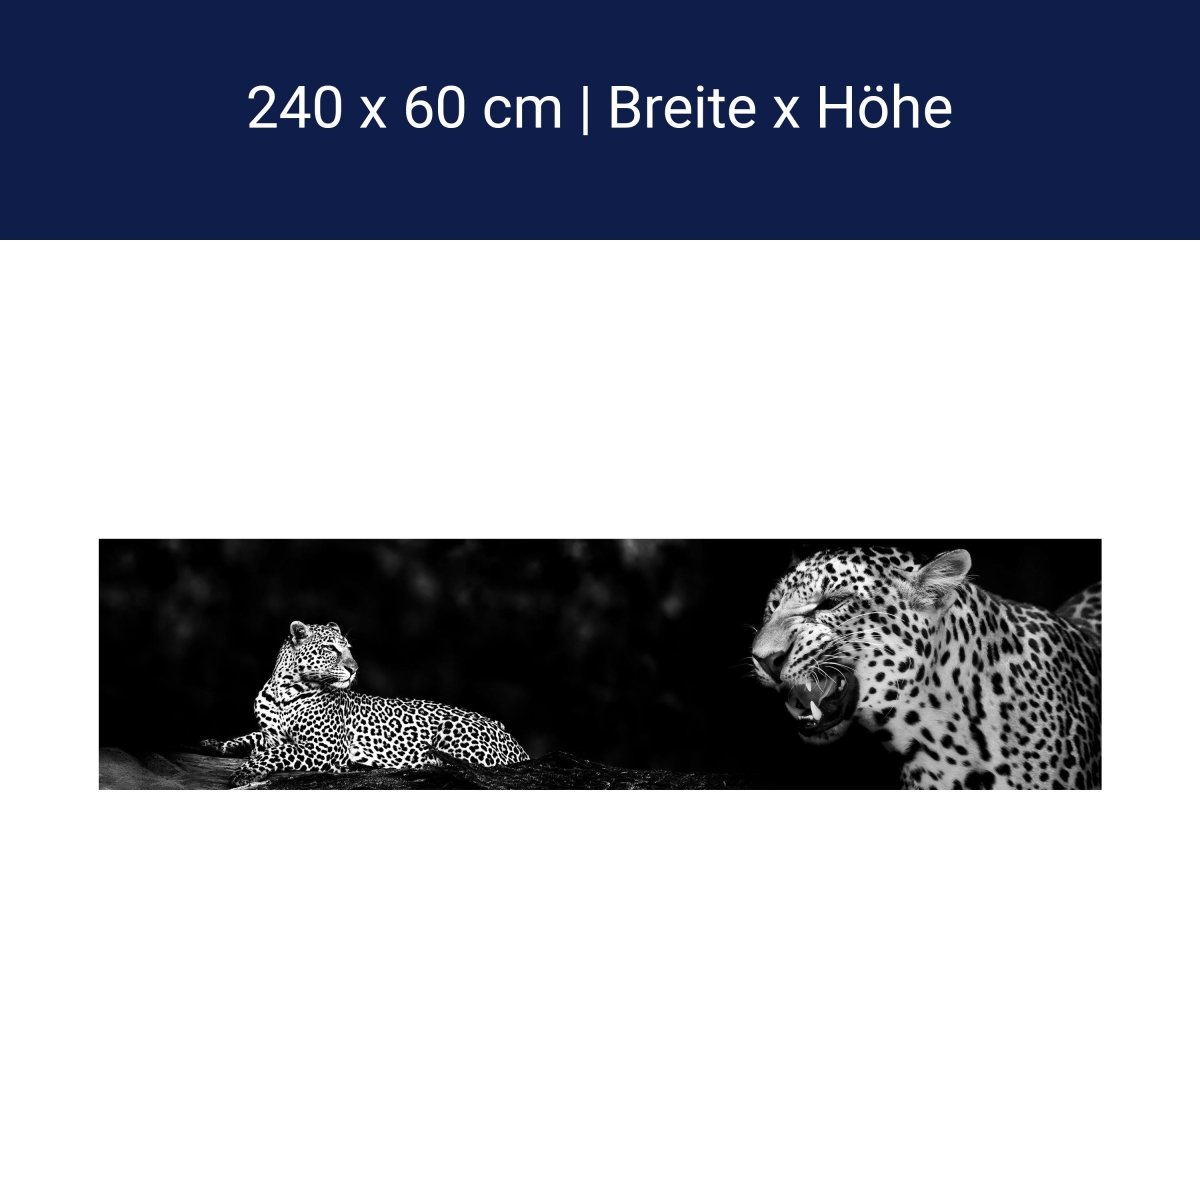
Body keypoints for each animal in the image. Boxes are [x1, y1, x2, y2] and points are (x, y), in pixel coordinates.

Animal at [203, 621, 529, 787]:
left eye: (349, 649)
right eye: (330, 649)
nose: (354, 668)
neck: (285, 691)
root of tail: (516, 742)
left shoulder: (324, 748)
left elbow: (278, 753)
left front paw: (247, 770)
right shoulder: (272, 735)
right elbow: (253, 737)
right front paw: (217, 744)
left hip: (456, 732)